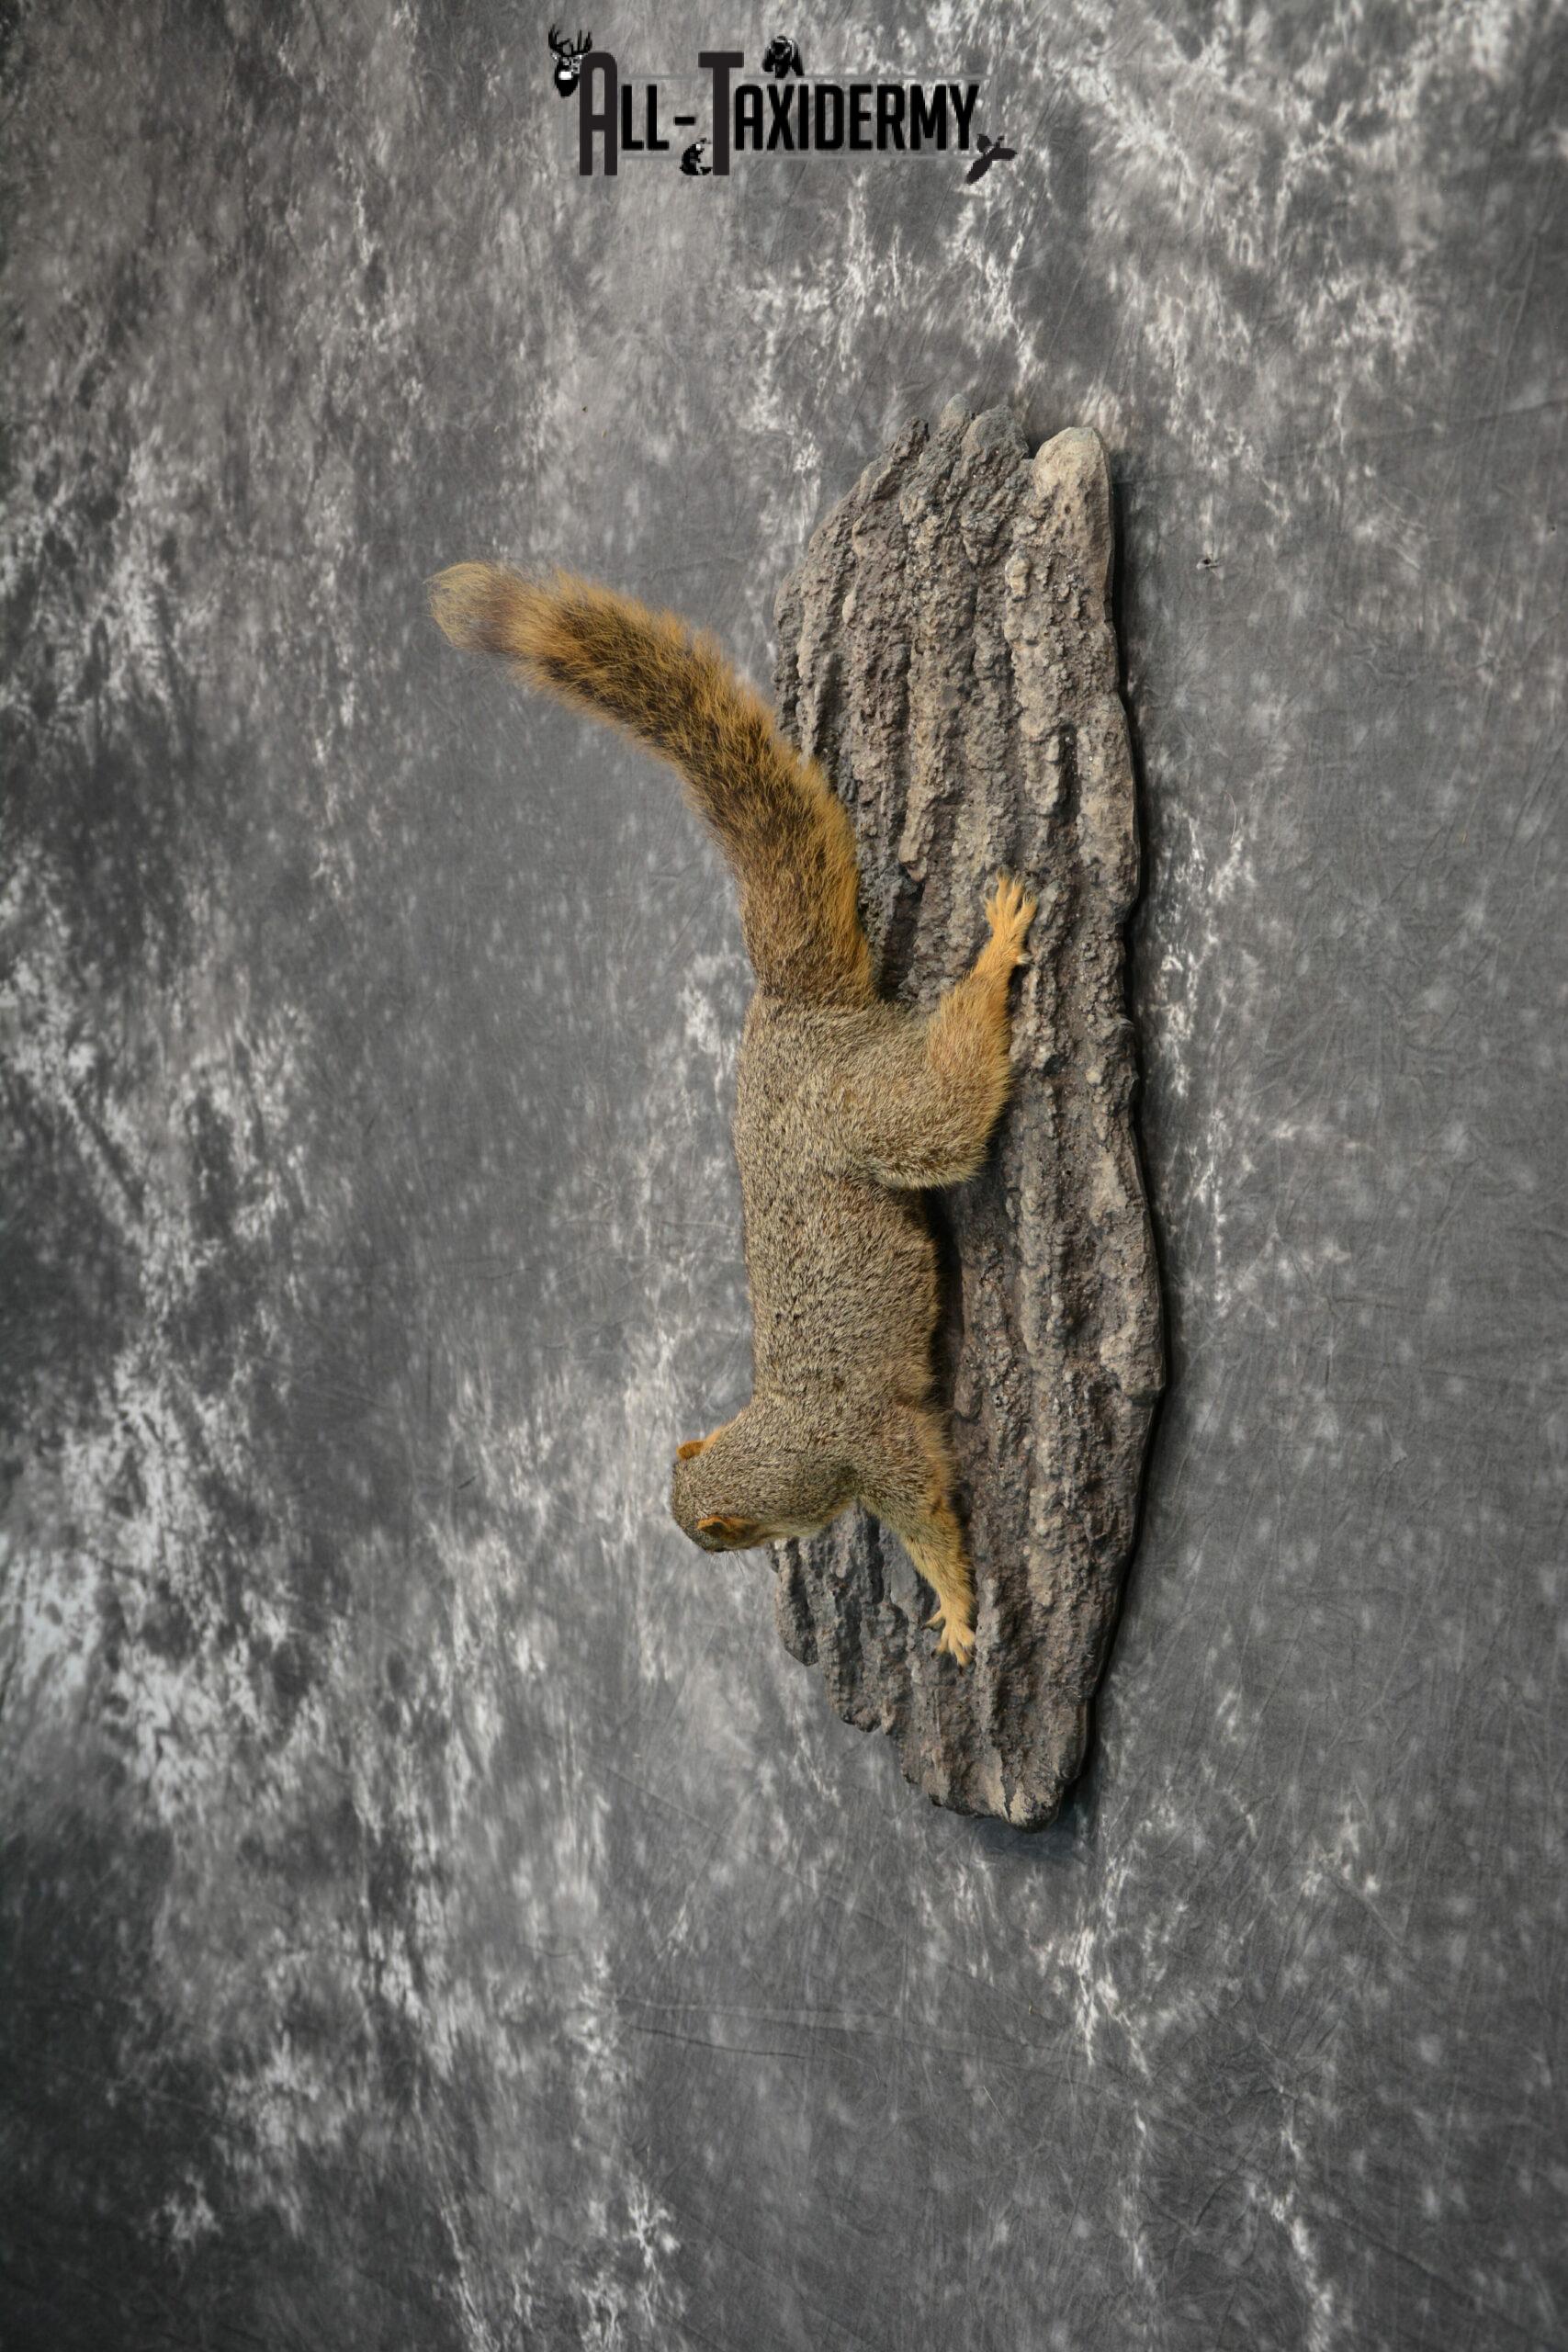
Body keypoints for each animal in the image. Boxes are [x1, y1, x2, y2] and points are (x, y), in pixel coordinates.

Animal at [429, 564, 1036, 1663]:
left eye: (717, 1533)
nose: (713, 1552)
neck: (784, 1440)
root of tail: (791, 1014)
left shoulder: (876, 1448)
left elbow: (929, 1515)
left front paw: (960, 1612)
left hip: (867, 1109)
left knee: (948, 1098)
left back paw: (995, 953)